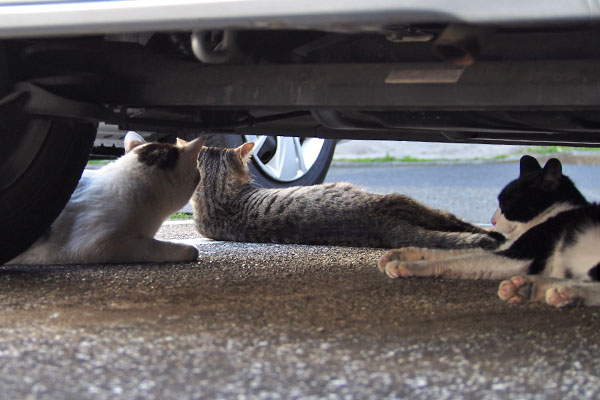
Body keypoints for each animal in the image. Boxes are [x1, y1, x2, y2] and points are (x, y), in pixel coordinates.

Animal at [380, 155, 600, 308]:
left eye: (506, 203)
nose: (492, 220)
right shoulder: (505, 250)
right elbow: (452, 253)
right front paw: (404, 254)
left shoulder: (519, 256)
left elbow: (458, 259)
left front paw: (408, 265)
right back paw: (529, 288)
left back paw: (564, 291)